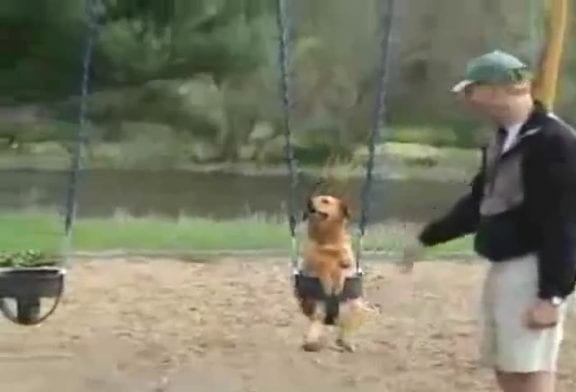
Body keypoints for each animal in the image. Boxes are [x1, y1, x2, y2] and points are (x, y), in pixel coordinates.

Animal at [296, 195, 368, 352]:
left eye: (325, 200)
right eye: (314, 198)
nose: (309, 202)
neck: (327, 241)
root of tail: (332, 319)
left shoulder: (347, 259)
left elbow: (343, 266)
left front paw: (338, 280)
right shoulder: (312, 261)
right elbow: (321, 265)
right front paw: (329, 283)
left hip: (356, 306)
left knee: (345, 331)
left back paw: (347, 343)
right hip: (315, 308)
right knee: (316, 323)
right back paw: (312, 343)